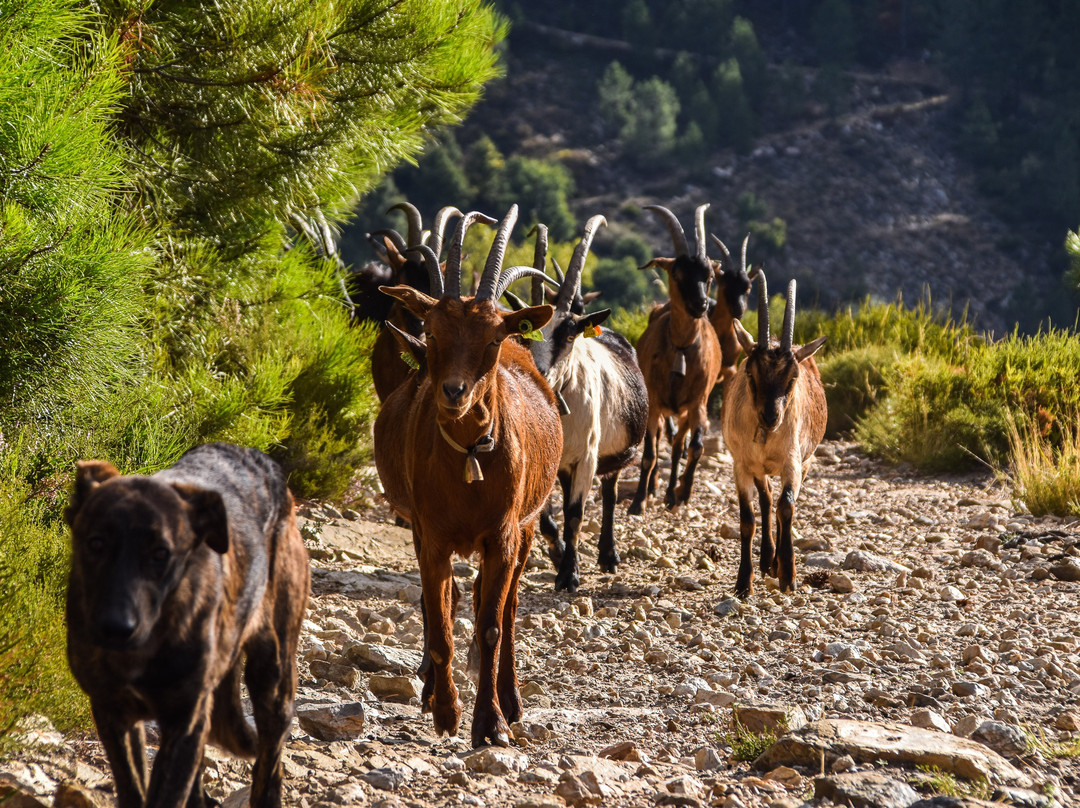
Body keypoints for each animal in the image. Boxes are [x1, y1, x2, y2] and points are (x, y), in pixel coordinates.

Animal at [64, 445, 308, 808]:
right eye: (96, 544)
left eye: (161, 554)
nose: (116, 628)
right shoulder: (113, 712)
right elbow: (134, 787)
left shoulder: (186, 721)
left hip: (273, 678)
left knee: (270, 762)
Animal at [371, 205, 561, 747]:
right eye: (432, 331)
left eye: (493, 337)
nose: (454, 393)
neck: (468, 463)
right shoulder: (431, 535)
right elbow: (438, 617)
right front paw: (445, 711)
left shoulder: (502, 534)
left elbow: (493, 624)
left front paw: (490, 723)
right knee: (452, 601)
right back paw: (433, 689)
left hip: (527, 526)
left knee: (506, 608)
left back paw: (511, 699)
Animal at [503, 218, 643, 591]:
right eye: (524, 334)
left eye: (567, 335)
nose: (538, 374)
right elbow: (545, 517)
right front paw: (560, 557)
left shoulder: (586, 458)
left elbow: (576, 513)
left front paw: (569, 575)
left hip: (609, 456)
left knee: (609, 491)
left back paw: (609, 556)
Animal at [630, 205, 721, 514]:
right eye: (678, 274)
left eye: (709, 276)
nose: (701, 305)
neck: (681, 349)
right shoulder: (655, 402)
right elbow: (649, 453)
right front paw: (638, 501)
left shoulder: (697, 403)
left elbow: (695, 448)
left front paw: (682, 493)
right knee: (659, 442)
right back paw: (653, 488)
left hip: (682, 411)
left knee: (679, 445)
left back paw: (670, 492)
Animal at [725, 267, 825, 596]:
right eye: (750, 373)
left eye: (792, 377)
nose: (771, 417)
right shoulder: (742, 465)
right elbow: (748, 518)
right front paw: (743, 583)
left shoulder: (792, 462)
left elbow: (787, 507)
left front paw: (788, 574)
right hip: (758, 467)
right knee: (766, 498)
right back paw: (767, 558)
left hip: (805, 461)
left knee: (779, 504)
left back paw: (776, 562)